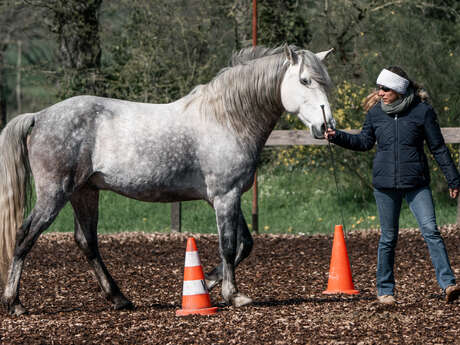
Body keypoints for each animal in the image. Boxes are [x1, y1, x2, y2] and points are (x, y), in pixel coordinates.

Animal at [0, 45, 334, 314]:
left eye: (325, 82)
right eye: (305, 81)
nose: (326, 125)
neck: (226, 119)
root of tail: (39, 116)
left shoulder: (231, 196)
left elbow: (245, 244)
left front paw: (207, 282)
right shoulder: (225, 196)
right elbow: (228, 245)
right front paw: (233, 294)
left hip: (85, 192)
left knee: (87, 242)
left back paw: (119, 298)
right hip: (54, 194)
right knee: (25, 236)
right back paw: (14, 302)